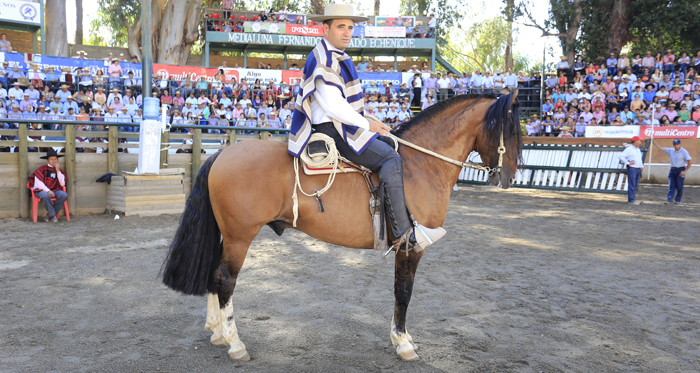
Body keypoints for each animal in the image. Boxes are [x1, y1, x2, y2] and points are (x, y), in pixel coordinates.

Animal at [161, 90, 524, 360]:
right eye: (509, 129)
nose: (509, 177)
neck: (419, 165)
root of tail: (220, 154)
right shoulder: (411, 246)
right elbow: (403, 292)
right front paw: (403, 342)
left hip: (227, 235)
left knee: (214, 273)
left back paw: (217, 332)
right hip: (240, 236)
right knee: (225, 279)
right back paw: (235, 343)